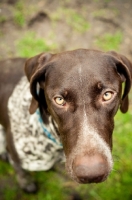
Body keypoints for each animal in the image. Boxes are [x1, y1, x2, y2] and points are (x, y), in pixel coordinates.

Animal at [0, 49, 131, 193]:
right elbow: (20, 170)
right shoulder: (16, 156)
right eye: (59, 100)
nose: (91, 173)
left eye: (107, 95)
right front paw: (26, 183)